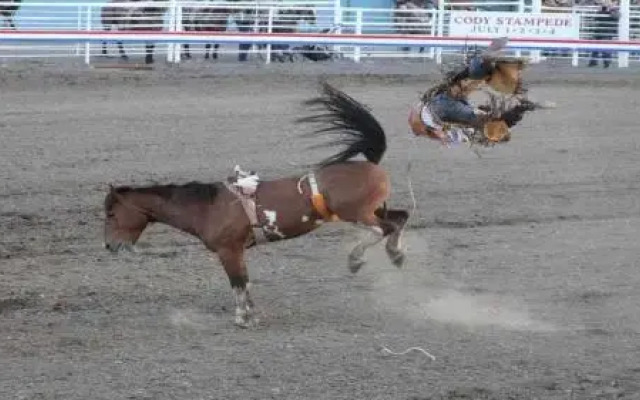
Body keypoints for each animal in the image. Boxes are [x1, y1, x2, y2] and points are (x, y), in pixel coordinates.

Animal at [101, 82, 410, 328]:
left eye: (111, 213)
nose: (109, 246)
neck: (207, 207)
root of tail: (371, 163)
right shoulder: (238, 251)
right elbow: (246, 282)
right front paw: (252, 314)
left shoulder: (229, 251)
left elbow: (237, 283)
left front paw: (242, 319)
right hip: (375, 208)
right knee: (400, 219)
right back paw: (396, 255)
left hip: (357, 213)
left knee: (382, 228)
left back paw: (356, 259)